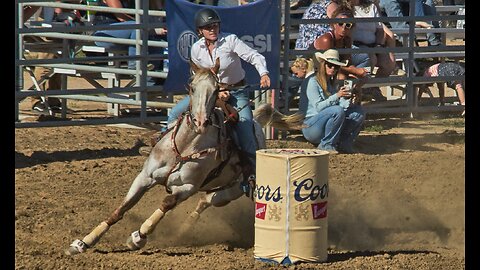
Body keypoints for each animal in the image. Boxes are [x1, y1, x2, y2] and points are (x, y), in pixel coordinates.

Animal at [64, 59, 304, 255]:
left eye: (217, 89)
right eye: (192, 87)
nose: (200, 121)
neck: (185, 145)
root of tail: (256, 124)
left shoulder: (187, 187)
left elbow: (166, 203)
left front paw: (138, 237)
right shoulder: (144, 177)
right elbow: (121, 209)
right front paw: (83, 243)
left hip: (233, 190)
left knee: (209, 201)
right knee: (205, 201)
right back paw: (183, 230)